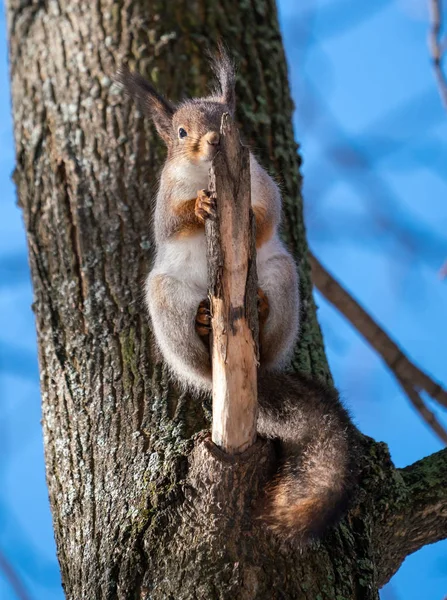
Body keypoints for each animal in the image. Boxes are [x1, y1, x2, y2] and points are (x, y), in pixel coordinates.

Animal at [117, 48, 358, 544]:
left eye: (228, 120)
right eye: (182, 132)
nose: (212, 141)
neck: (206, 177)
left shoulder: (261, 182)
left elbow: (269, 216)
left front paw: (249, 214)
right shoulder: (165, 198)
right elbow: (172, 223)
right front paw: (198, 207)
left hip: (282, 277)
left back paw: (259, 314)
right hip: (167, 299)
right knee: (191, 351)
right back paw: (203, 325)